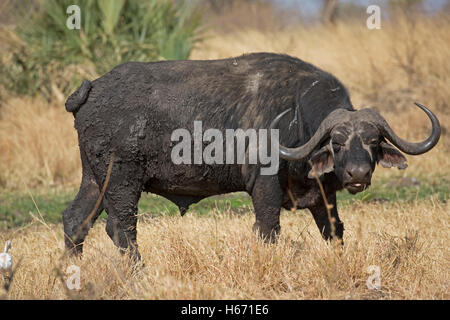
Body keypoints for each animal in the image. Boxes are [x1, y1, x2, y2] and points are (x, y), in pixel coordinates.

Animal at [62, 52, 440, 262]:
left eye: (374, 141)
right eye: (337, 141)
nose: (358, 174)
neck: (298, 117)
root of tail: (93, 87)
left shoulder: (323, 195)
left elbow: (334, 231)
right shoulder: (265, 187)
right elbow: (269, 229)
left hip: (95, 179)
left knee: (75, 220)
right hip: (122, 181)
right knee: (121, 228)